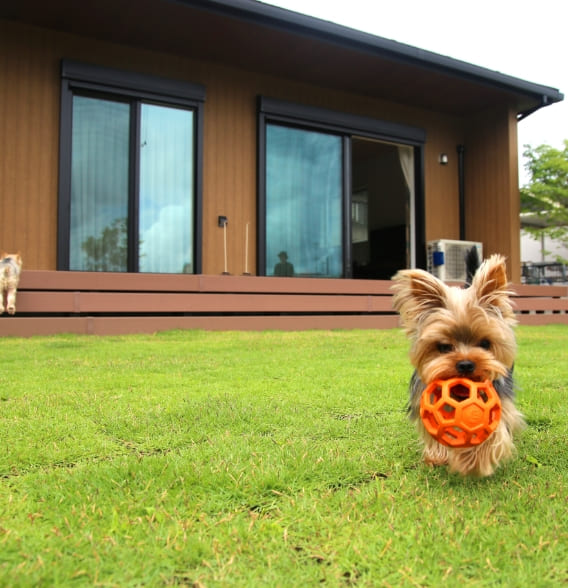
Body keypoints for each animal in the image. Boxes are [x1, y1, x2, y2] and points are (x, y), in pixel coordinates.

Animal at [392, 249, 524, 478]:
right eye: (444, 346)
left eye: (485, 343)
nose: (466, 364)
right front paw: (438, 456)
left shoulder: (500, 402)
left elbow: (493, 433)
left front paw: (471, 461)